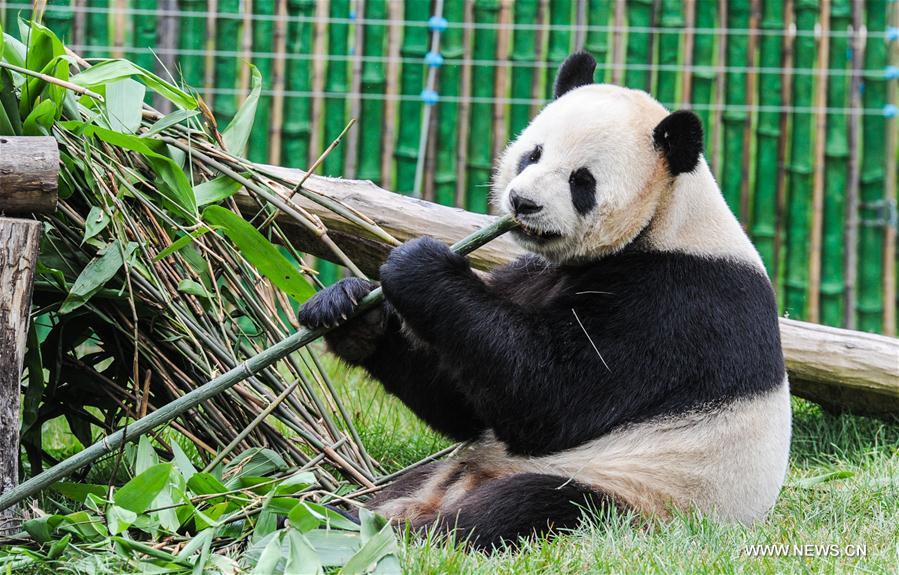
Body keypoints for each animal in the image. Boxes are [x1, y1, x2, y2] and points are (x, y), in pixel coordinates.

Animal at [298, 51, 791, 550]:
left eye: (582, 180)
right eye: (533, 154)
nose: (522, 202)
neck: (664, 219)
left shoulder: (676, 306)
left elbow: (551, 397)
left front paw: (417, 265)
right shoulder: (534, 274)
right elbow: (464, 401)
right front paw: (348, 311)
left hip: (632, 491)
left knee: (520, 508)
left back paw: (398, 532)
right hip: (446, 472)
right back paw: (333, 517)